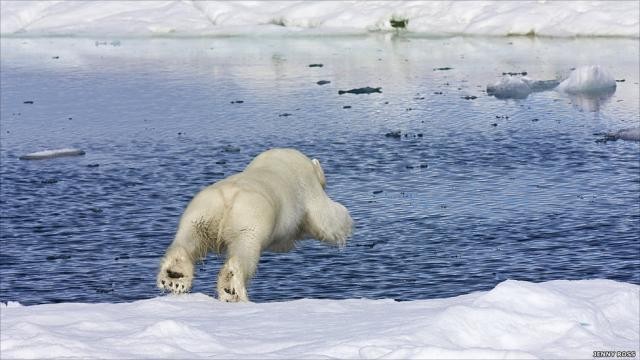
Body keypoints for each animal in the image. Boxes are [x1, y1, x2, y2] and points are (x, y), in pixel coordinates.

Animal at [157, 148, 352, 302]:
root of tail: (228, 198)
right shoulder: (306, 185)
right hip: (249, 220)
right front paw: (347, 224)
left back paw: (175, 276)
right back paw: (231, 288)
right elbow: (325, 218)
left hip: (200, 214)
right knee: (244, 252)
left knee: (188, 240)